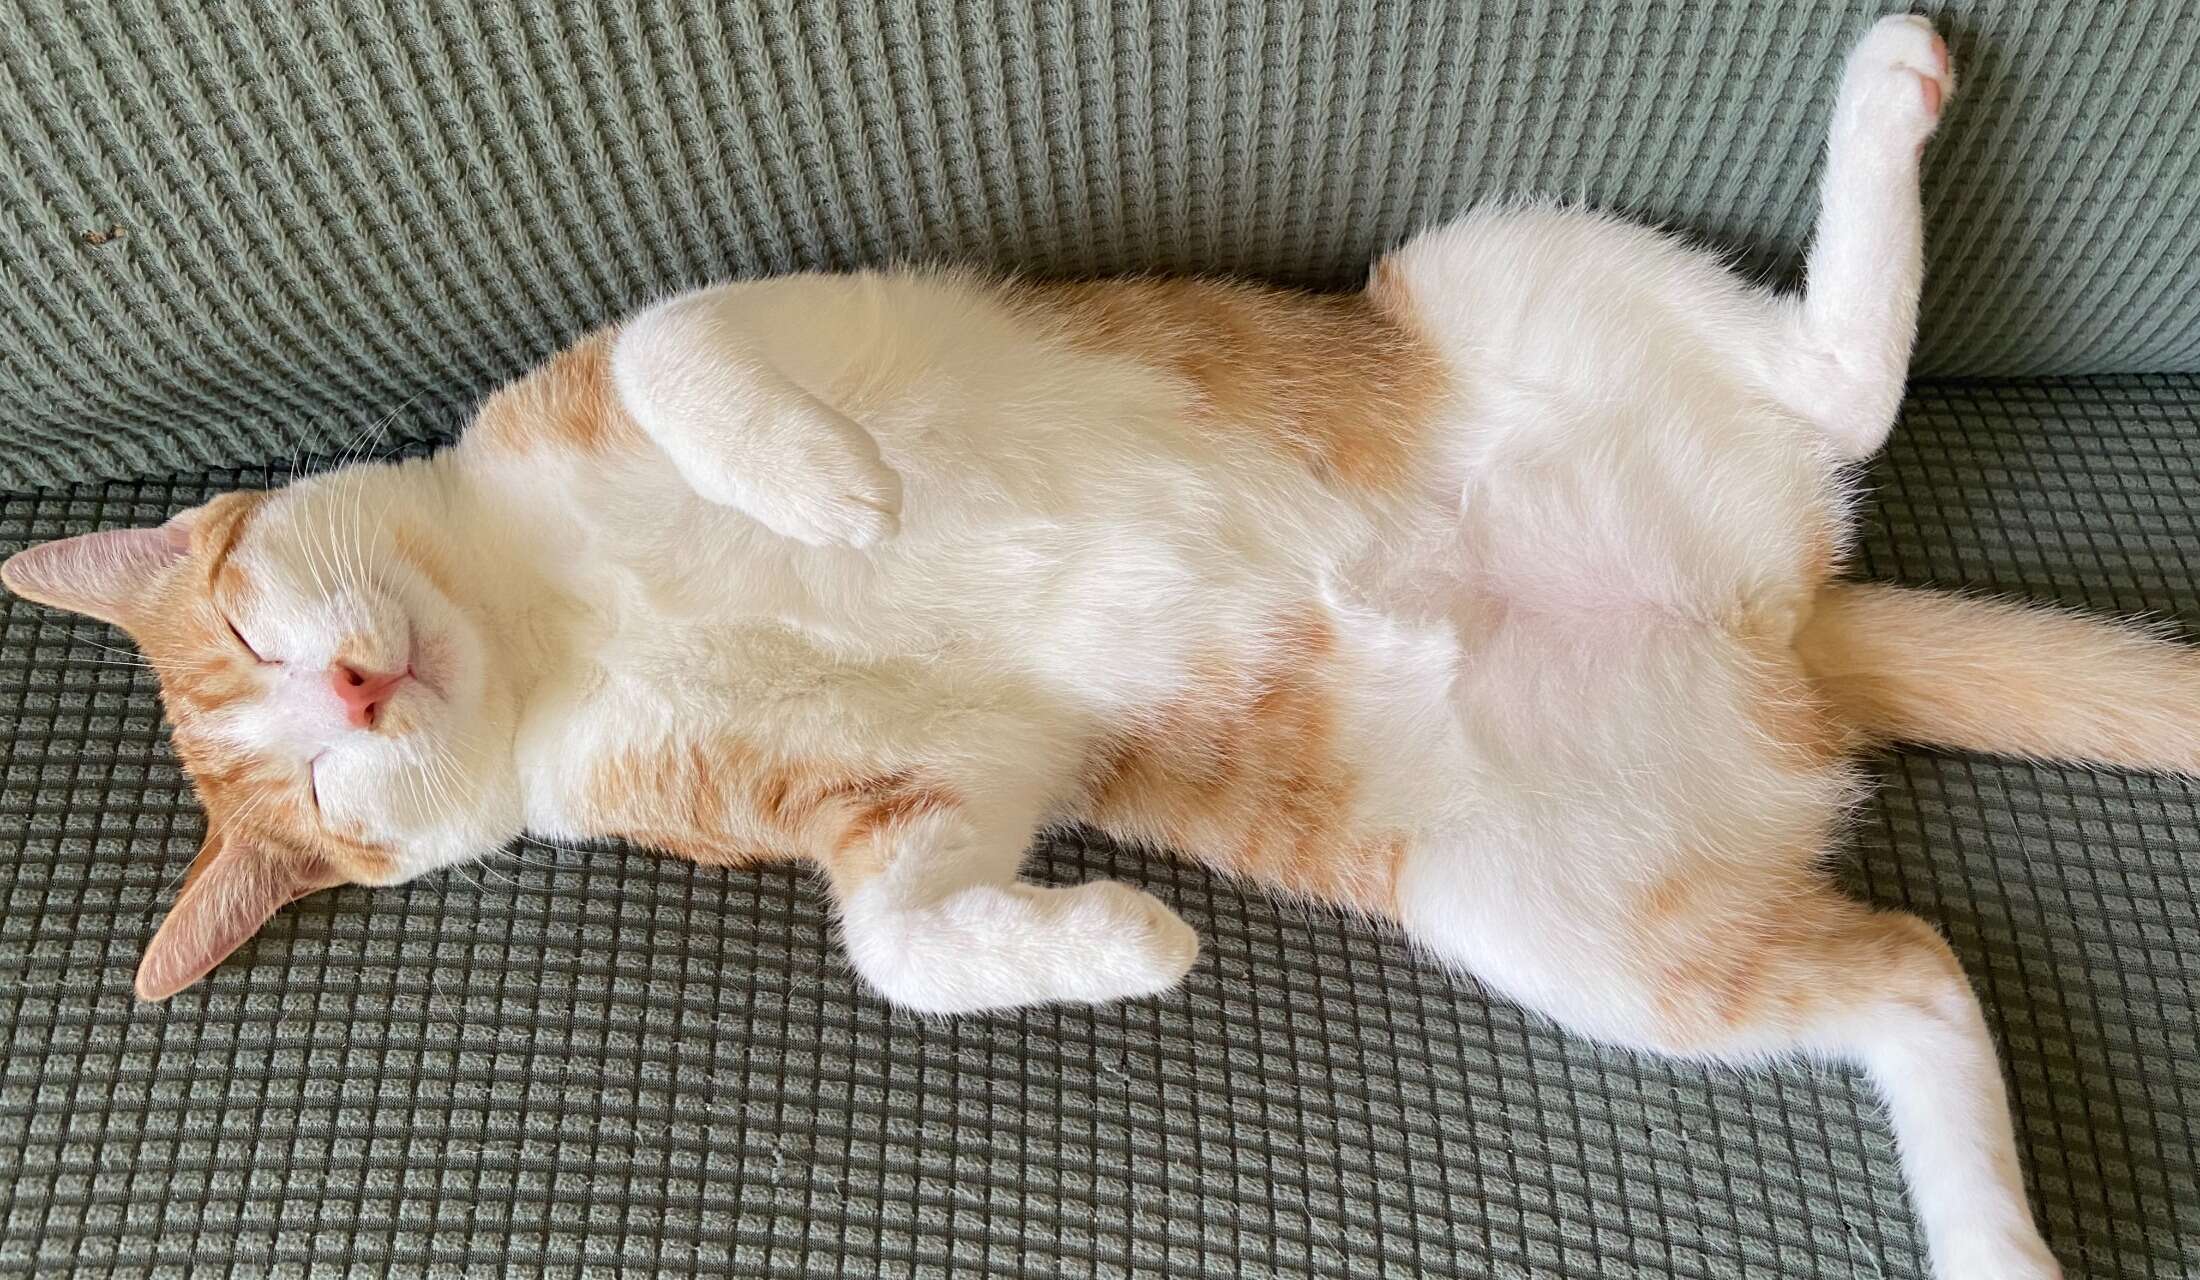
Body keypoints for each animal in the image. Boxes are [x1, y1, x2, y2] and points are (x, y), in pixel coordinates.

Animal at [15, 16, 2180, 1278]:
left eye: (244, 622)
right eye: (315, 797)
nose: (352, 692)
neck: (556, 622)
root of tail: (1777, 617)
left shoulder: (729, 315)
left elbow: (680, 349)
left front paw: (826, 491)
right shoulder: (923, 796)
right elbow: (900, 944)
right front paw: (1121, 944)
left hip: (1496, 274)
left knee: (1837, 381)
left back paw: (1883, 94)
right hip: (1565, 926)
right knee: (1910, 977)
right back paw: (1994, 1239)